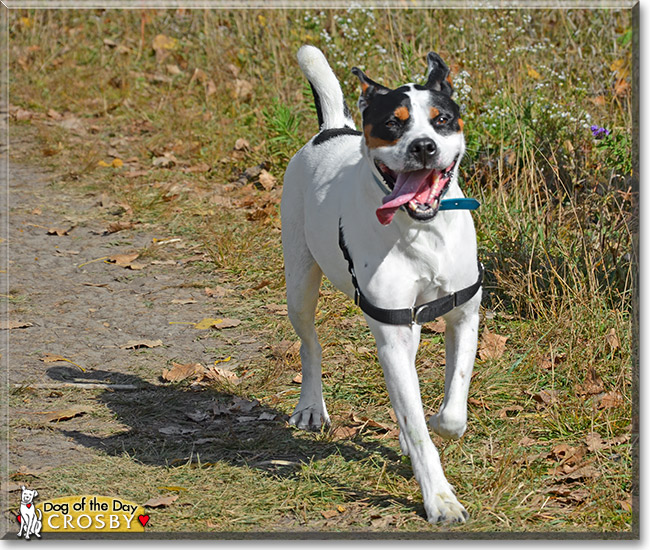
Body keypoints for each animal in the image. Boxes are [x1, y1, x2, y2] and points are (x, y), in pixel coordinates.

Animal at [280, 46, 480, 528]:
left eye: (442, 119)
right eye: (393, 123)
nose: (423, 146)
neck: (422, 229)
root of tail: (332, 128)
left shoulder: (464, 313)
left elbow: (451, 410)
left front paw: (437, 422)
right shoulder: (390, 328)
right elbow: (420, 428)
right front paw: (439, 498)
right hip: (300, 285)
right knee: (309, 344)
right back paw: (310, 406)